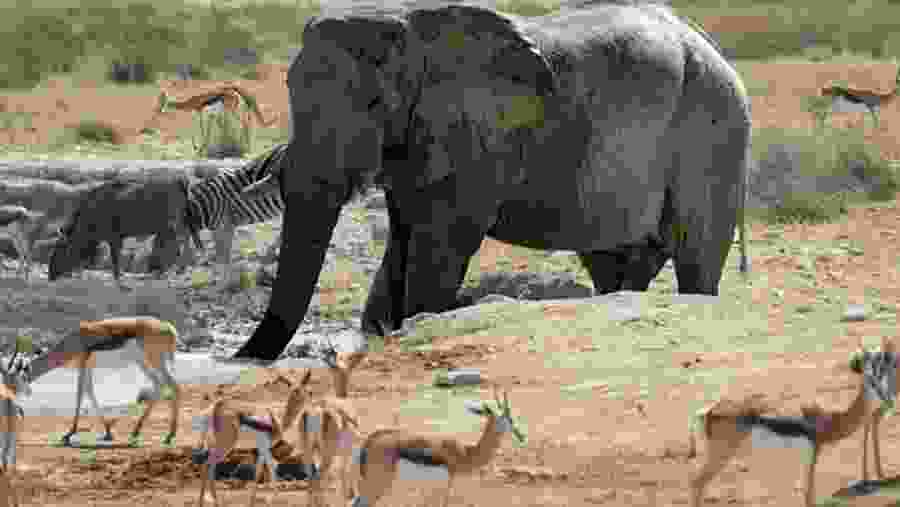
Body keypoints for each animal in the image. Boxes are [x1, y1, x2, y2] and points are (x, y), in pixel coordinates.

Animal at [232, 0, 751, 361]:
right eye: (291, 92)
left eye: (376, 104)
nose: (239, 360)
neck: (407, 23)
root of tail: (710, 44)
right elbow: (401, 242)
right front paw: (382, 331)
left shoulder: (475, 135)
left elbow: (441, 245)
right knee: (615, 262)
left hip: (713, 128)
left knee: (696, 257)